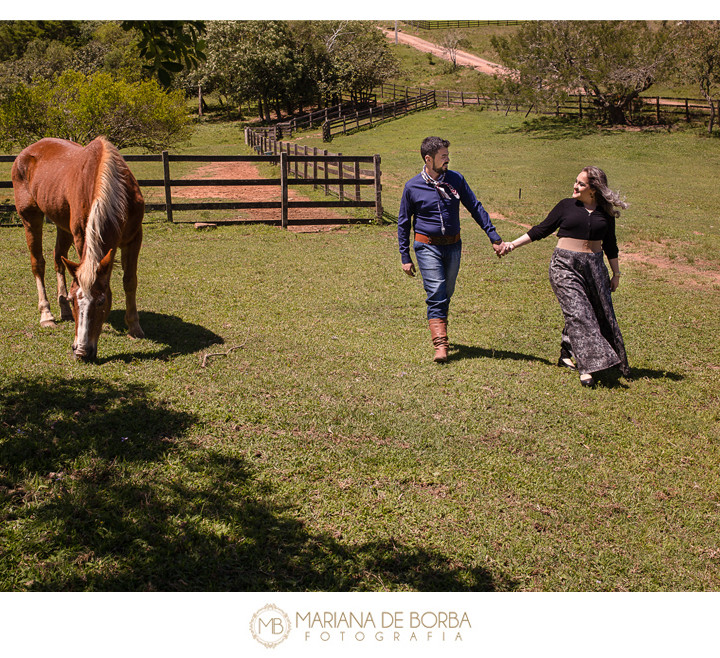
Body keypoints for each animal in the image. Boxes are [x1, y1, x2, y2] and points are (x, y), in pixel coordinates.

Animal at [11, 134, 145, 358]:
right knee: (38, 263)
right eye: (75, 300)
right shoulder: (81, 236)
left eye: (101, 302)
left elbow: (130, 281)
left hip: (61, 223)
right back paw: (46, 315)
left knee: (58, 258)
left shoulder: (134, 238)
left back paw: (62, 309)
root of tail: (27, 152)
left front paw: (134, 327)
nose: (81, 350)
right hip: (30, 218)